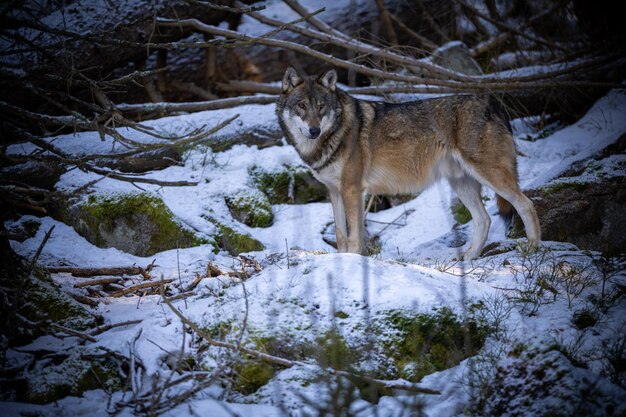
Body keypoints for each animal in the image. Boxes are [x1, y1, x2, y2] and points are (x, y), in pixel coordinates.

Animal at [276, 66, 540, 258]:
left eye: (321, 107)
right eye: (301, 106)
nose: (314, 130)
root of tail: (494, 104)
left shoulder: (352, 189)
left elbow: (354, 236)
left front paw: (353, 261)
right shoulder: (335, 191)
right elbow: (341, 235)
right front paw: (342, 261)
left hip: (489, 176)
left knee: (526, 204)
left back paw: (532, 247)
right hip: (461, 184)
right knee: (484, 220)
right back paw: (469, 258)